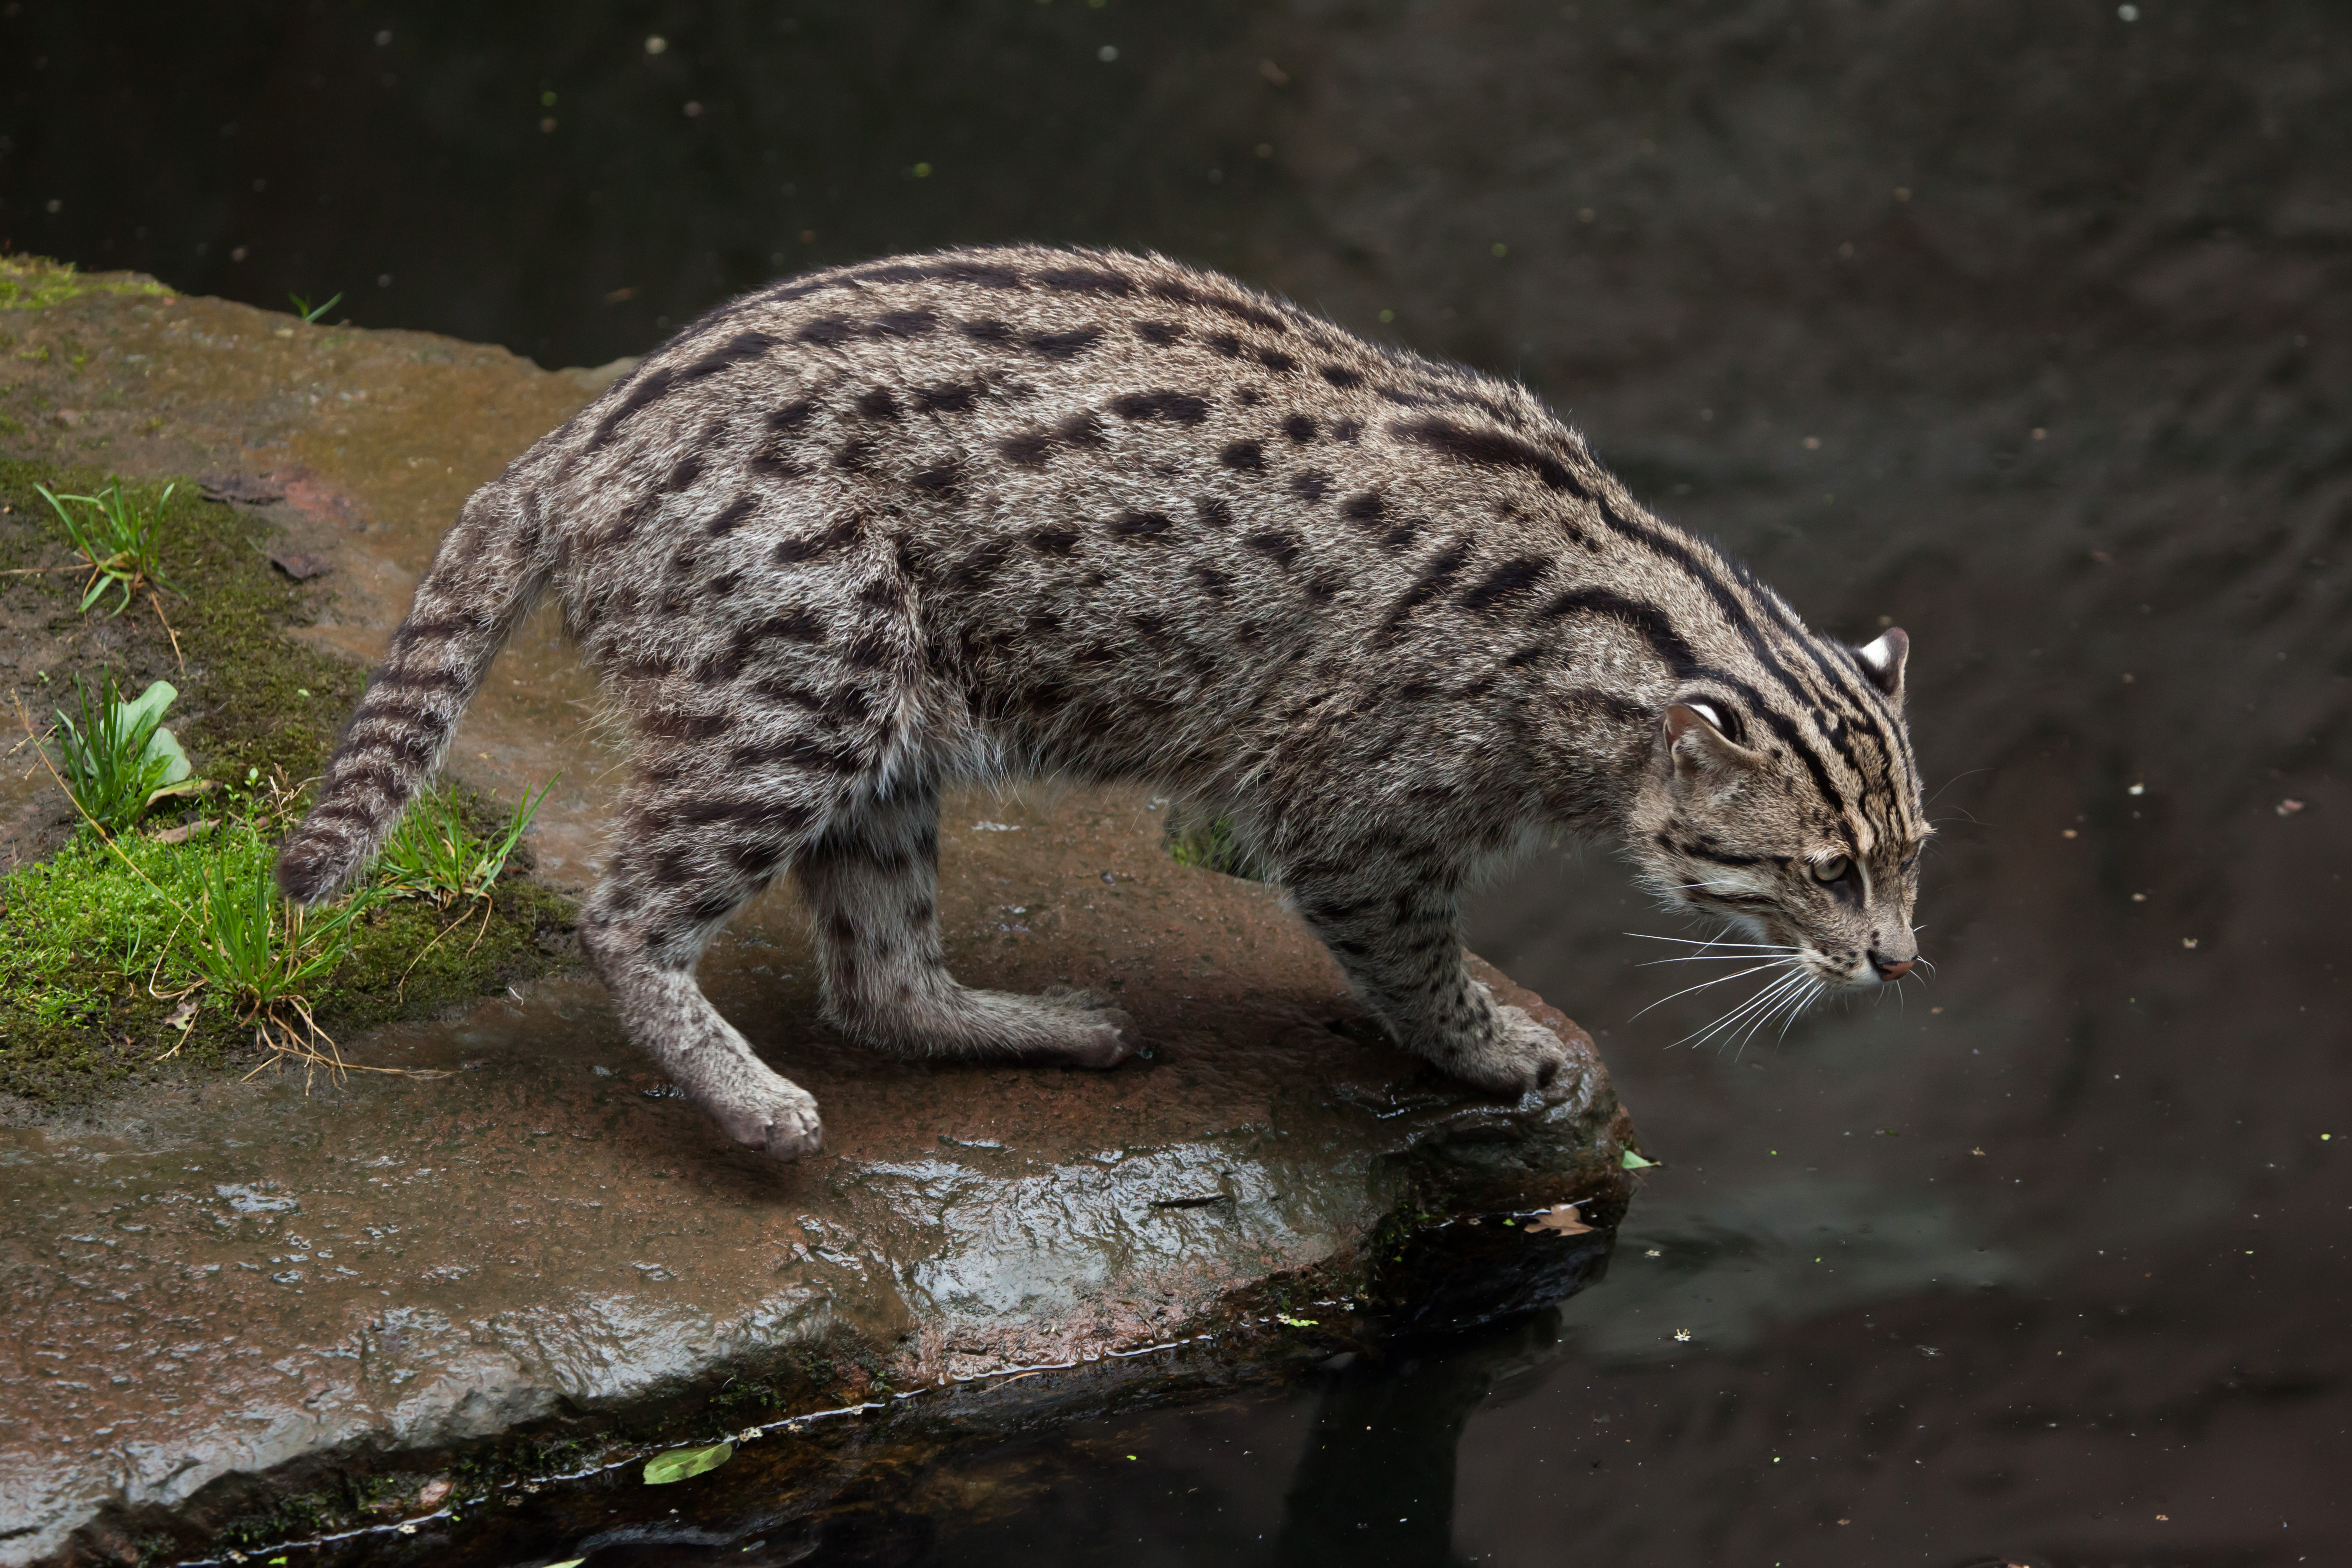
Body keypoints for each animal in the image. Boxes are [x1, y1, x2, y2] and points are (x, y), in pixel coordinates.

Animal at [280, 240, 1929, 1161]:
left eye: (1913, 858)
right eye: (1824, 870)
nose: (1899, 963)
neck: (1609, 621)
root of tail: (577, 443)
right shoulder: (1357, 820)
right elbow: (1415, 968)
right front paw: (1496, 1048)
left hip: (875, 729)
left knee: (877, 979)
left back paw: (1025, 1026)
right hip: (797, 684)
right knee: (625, 918)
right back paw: (747, 1103)